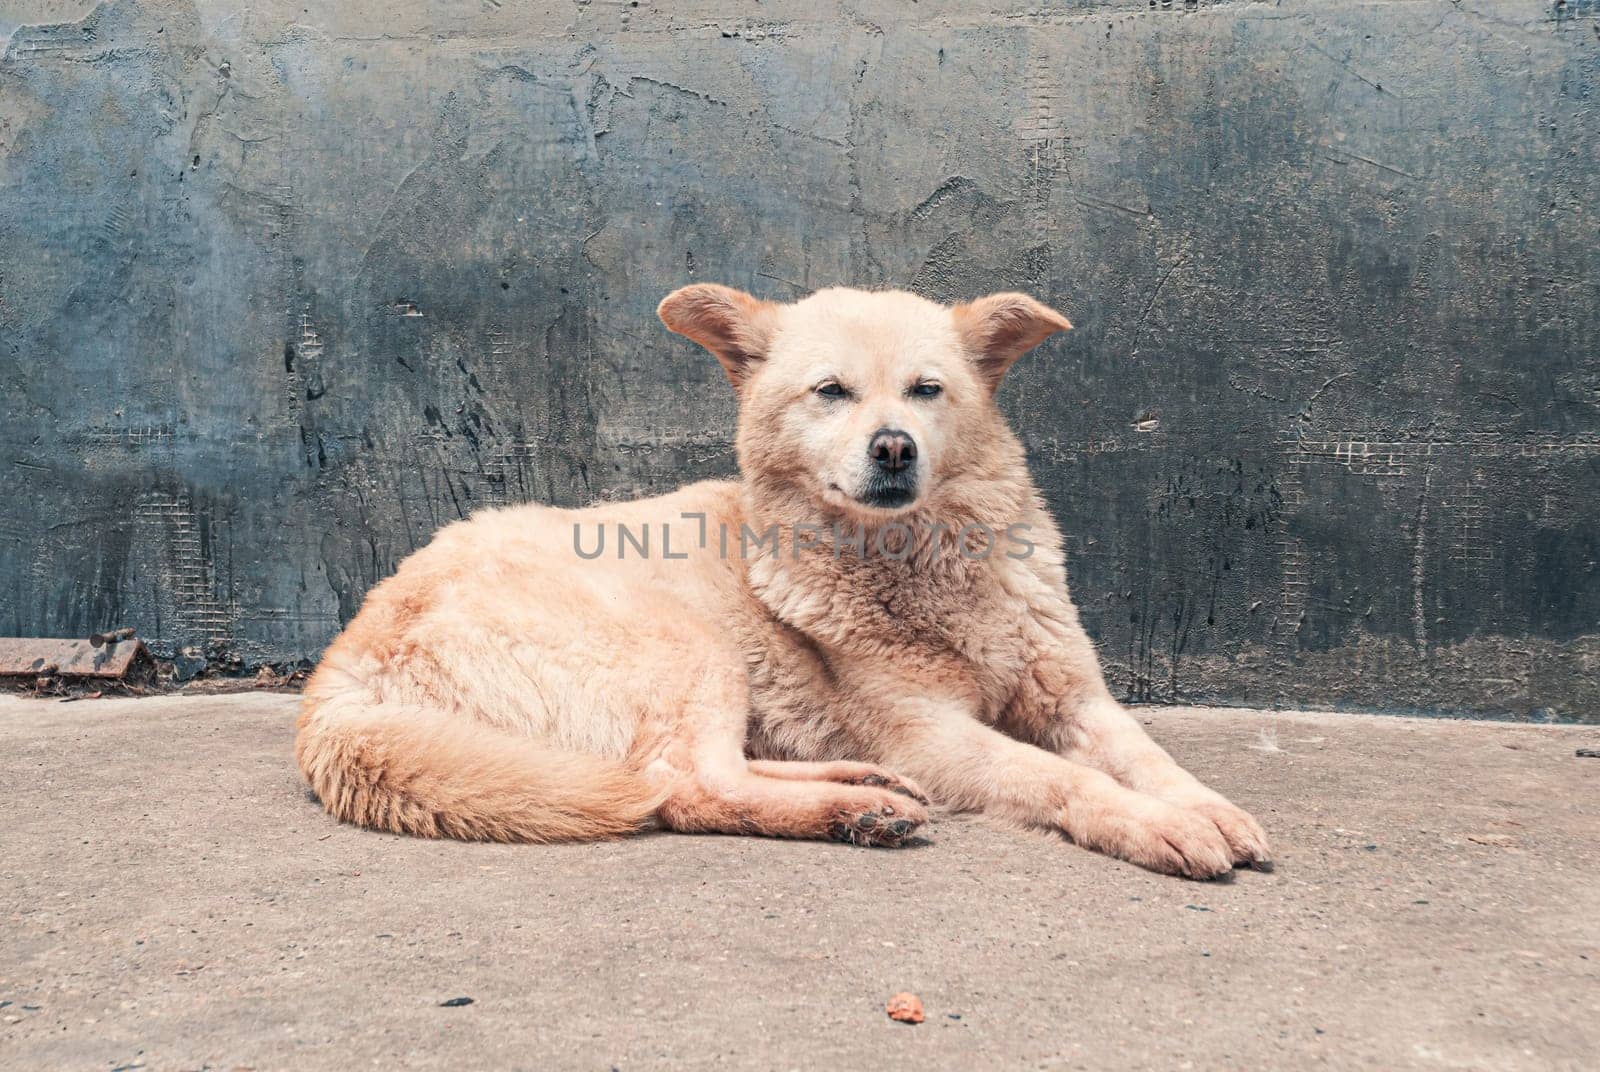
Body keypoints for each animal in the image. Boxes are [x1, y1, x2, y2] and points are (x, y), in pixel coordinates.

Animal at [294, 288, 1267, 883]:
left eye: (927, 390)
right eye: (830, 392)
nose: (893, 447)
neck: (921, 567)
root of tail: (342, 667)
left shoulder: (1075, 699)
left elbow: (1151, 757)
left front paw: (1208, 808)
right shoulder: (939, 738)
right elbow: (1064, 778)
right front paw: (1158, 825)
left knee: (707, 767)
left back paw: (860, 787)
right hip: (688, 644)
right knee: (687, 787)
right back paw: (854, 809)